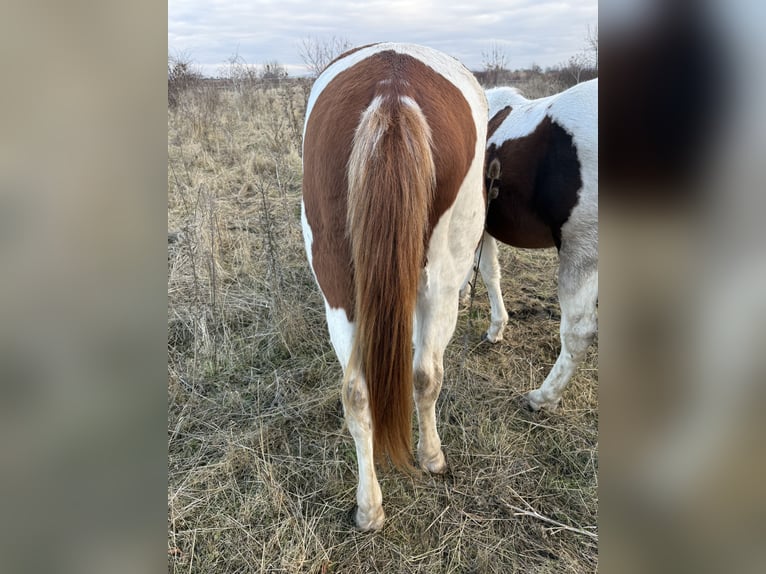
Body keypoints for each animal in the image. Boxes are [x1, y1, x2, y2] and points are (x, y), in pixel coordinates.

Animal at [301, 43, 488, 530]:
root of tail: (392, 93)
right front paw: (432, 457)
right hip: (440, 281)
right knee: (426, 374)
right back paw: (431, 456)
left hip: (338, 284)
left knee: (356, 393)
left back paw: (369, 507)